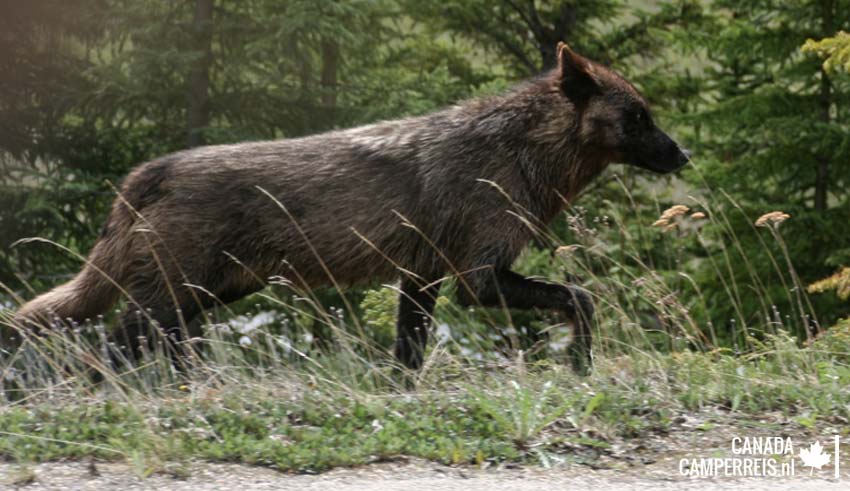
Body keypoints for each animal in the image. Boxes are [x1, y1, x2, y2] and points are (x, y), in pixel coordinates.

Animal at [13, 43, 689, 373]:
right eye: (639, 116)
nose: (683, 155)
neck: (516, 157)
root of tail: (150, 171)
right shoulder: (477, 281)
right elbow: (582, 298)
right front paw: (580, 367)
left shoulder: (423, 280)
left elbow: (407, 359)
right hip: (171, 299)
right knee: (102, 349)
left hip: (205, 298)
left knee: (145, 349)